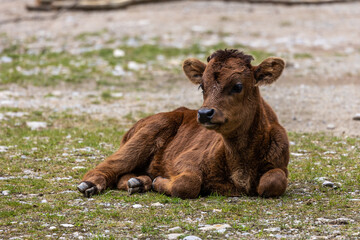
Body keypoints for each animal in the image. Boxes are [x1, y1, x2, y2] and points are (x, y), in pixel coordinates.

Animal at [78, 48, 290, 199]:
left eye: (238, 85)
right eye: (202, 86)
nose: (204, 113)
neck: (241, 162)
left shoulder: (281, 166)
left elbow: (274, 181)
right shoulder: (185, 160)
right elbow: (187, 184)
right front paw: (160, 182)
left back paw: (137, 182)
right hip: (144, 136)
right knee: (109, 165)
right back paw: (90, 185)